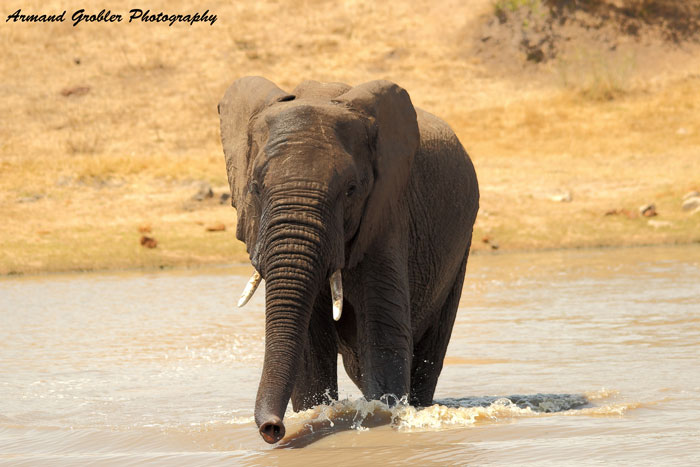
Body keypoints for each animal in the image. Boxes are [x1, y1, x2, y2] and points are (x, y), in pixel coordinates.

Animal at [219, 76, 482, 442]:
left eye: (351, 190)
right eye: (255, 188)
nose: (273, 429)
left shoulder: (386, 213)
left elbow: (382, 336)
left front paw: (380, 416)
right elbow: (310, 351)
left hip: (460, 248)